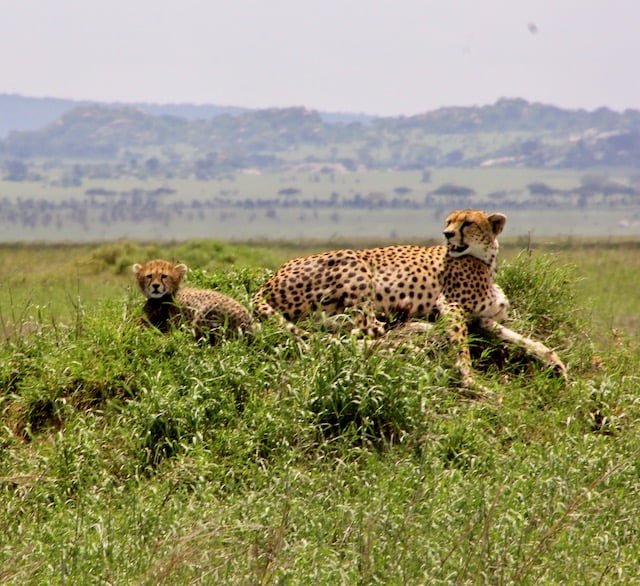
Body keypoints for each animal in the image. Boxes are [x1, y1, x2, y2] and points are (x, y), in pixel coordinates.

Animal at [252, 209, 566, 388]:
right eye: (449, 222)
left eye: (467, 223)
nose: (447, 234)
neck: (485, 260)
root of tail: (267, 282)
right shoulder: (451, 306)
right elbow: (462, 345)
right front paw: (469, 378)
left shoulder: (484, 320)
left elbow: (523, 339)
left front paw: (555, 362)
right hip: (356, 264)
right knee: (365, 332)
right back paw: (414, 337)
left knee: (342, 328)